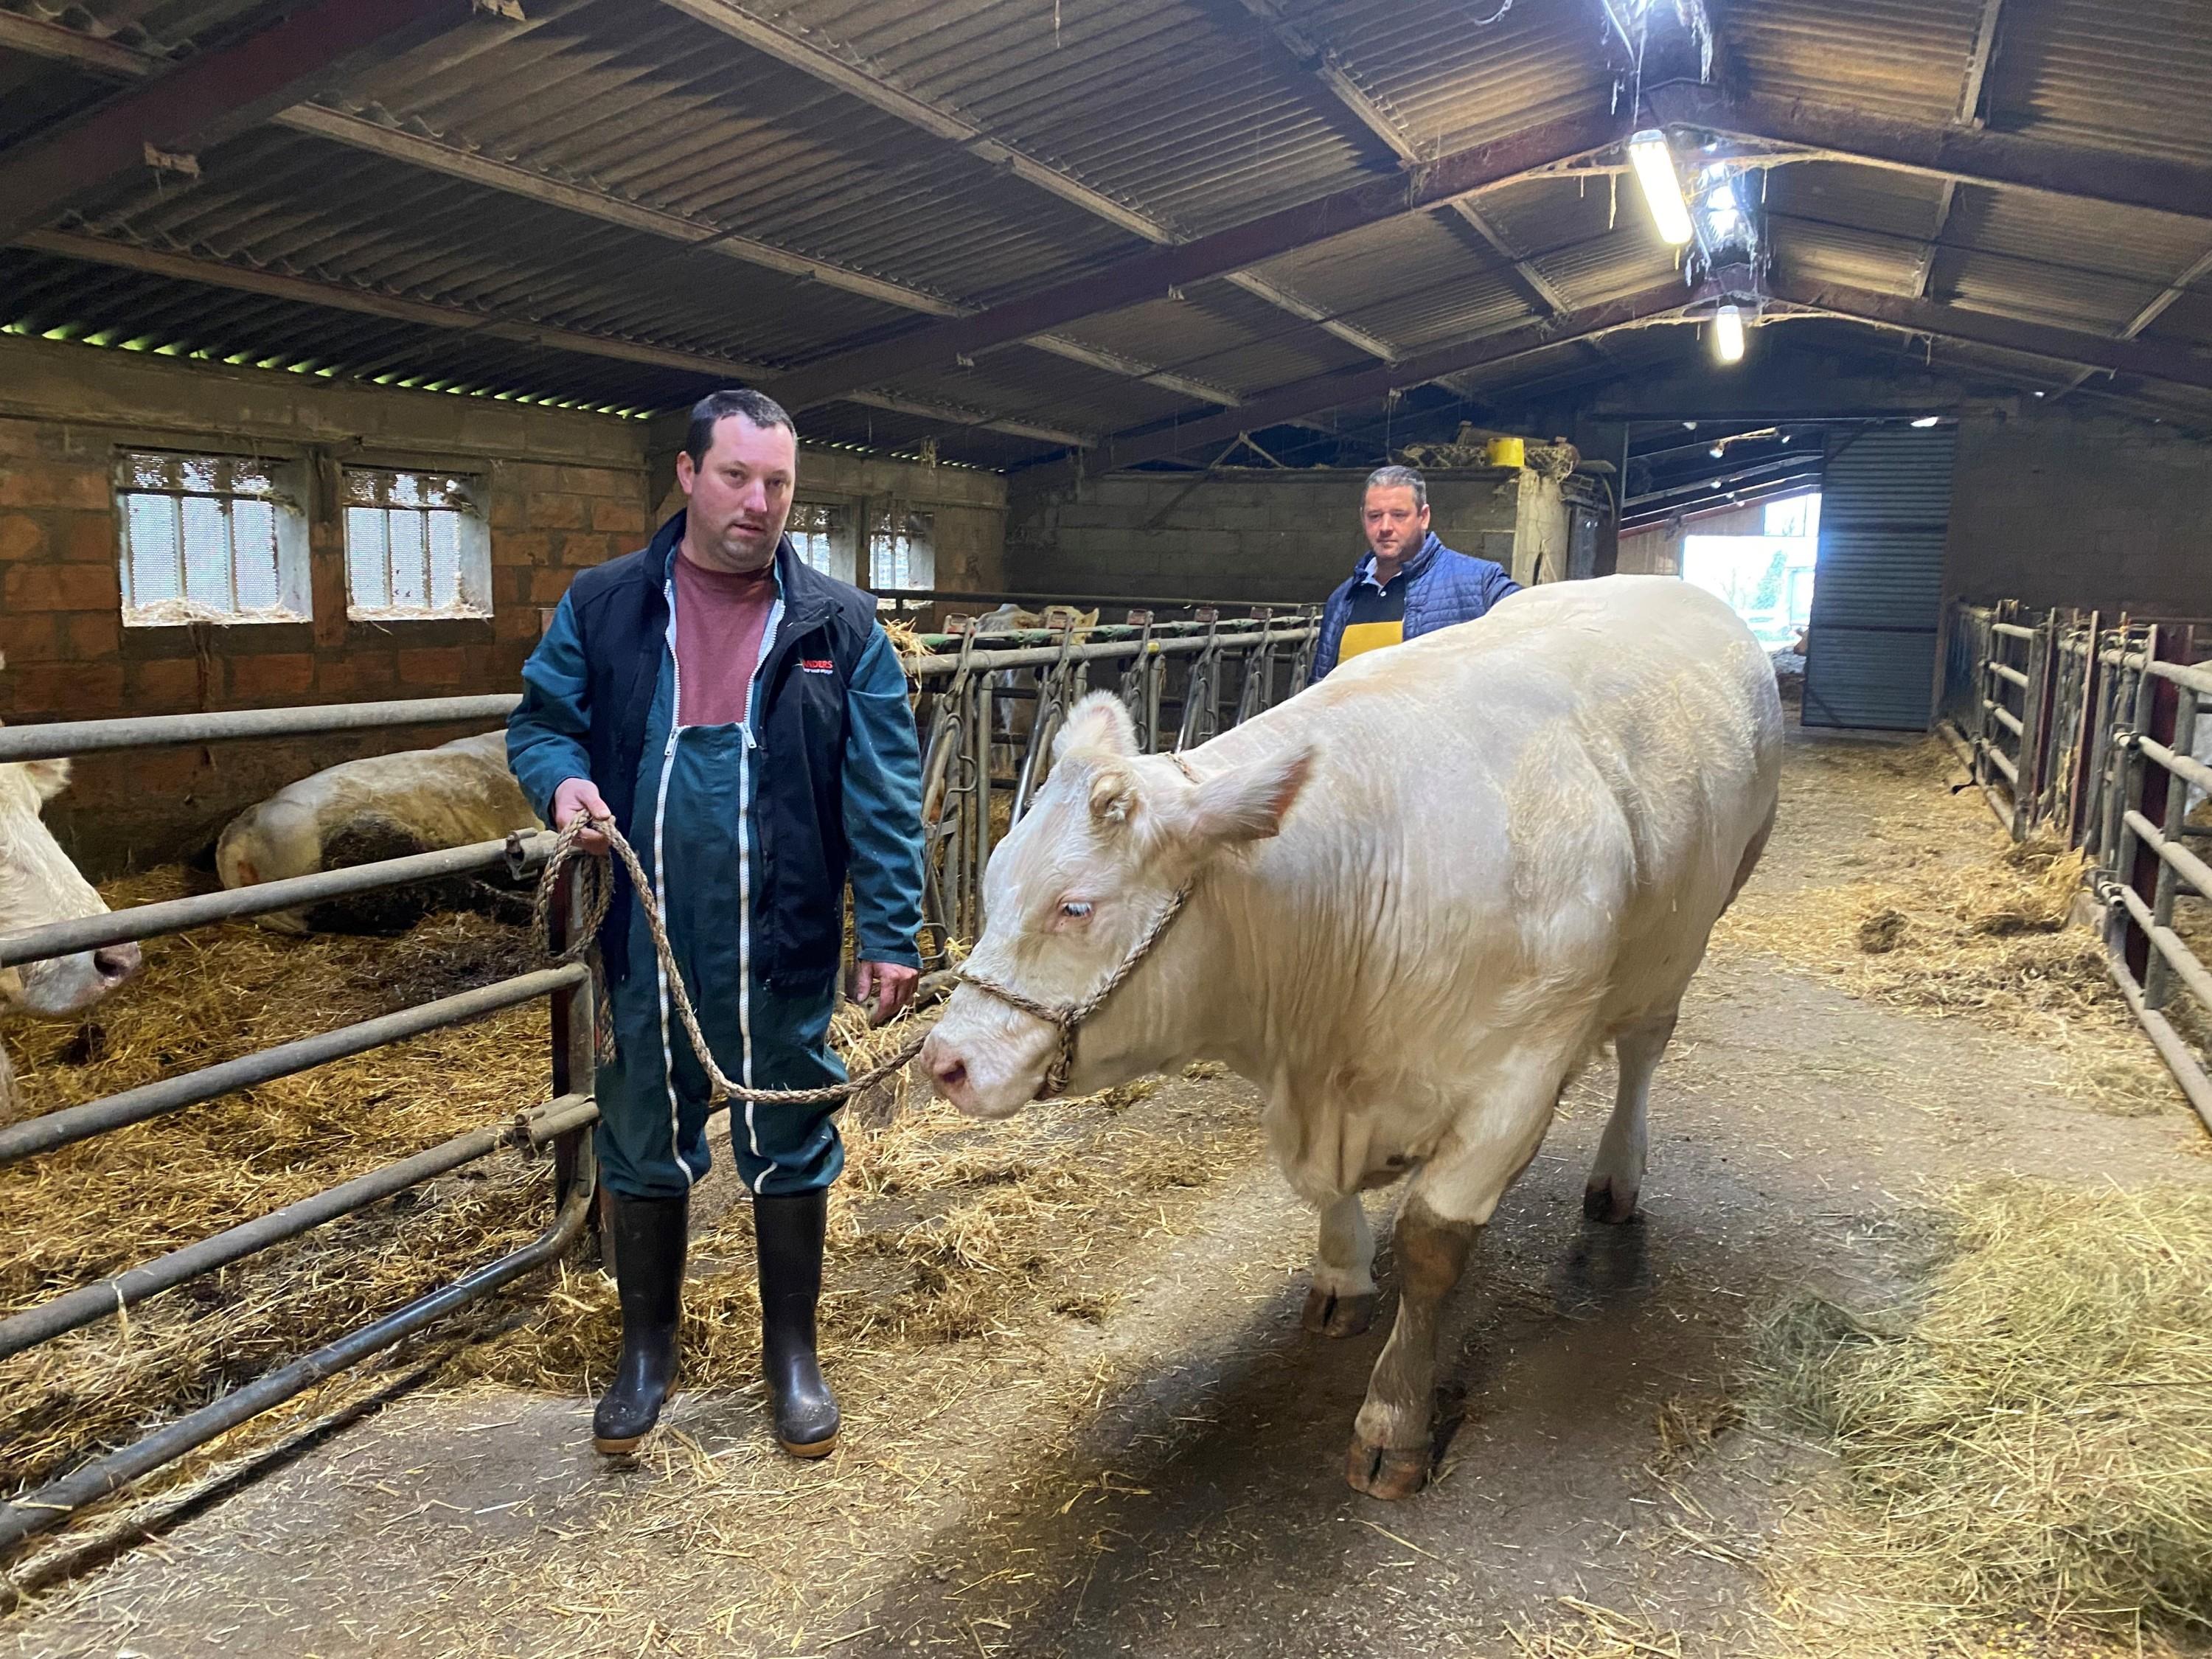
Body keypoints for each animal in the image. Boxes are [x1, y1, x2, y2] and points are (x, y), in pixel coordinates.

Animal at [925, 580, 1787, 1504]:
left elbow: (1434, 1246)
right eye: (993, 878)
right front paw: (1342, 1278)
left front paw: (1393, 1421)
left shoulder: (1515, 1076)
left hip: (1696, 922)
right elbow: (1318, 1192)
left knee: (1643, 1051)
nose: (946, 1062)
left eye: (1076, 906)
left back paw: (1619, 1174)